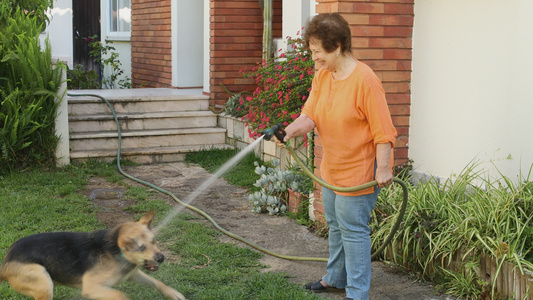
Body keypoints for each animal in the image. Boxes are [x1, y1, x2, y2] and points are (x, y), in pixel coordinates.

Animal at [0, 211, 185, 300]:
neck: (116, 252)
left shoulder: (133, 274)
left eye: (154, 241)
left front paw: (172, 293)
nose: (161, 258)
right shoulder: (91, 287)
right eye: (141, 247)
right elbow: (121, 295)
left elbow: (157, 282)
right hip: (43, 282)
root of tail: (4, 263)